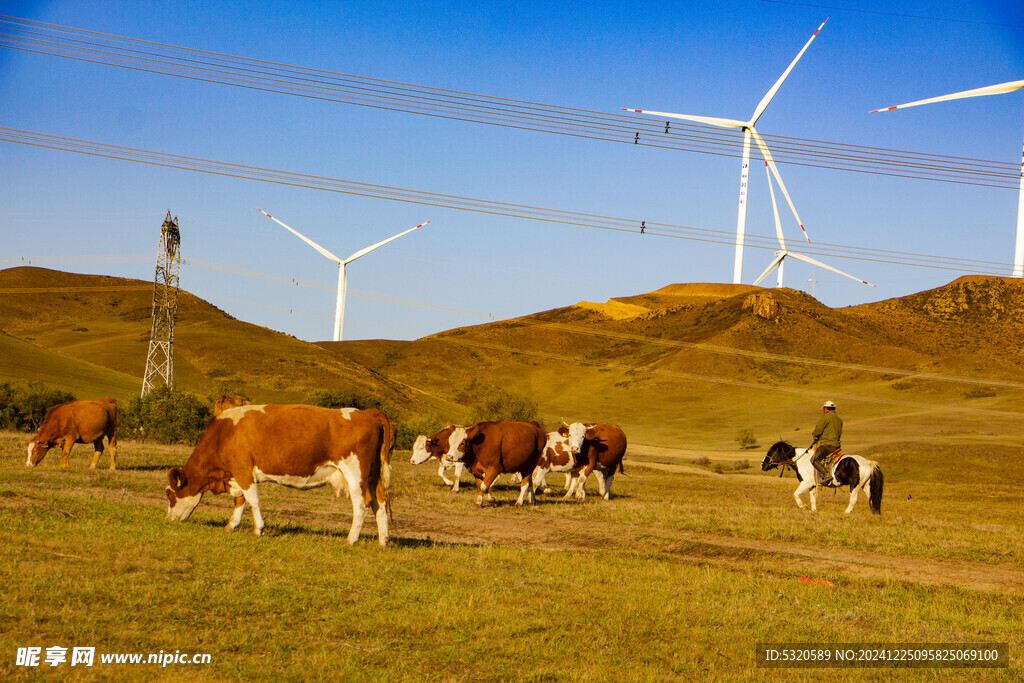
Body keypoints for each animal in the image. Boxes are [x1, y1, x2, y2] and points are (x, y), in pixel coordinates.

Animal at [165, 405, 393, 544]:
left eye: (169, 494)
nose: (168, 520)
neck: (224, 433)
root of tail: (366, 413)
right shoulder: (236, 474)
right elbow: (240, 501)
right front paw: (231, 525)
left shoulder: (243, 470)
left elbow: (252, 500)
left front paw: (259, 529)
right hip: (373, 475)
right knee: (380, 502)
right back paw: (383, 541)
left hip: (356, 474)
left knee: (362, 504)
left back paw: (351, 539)